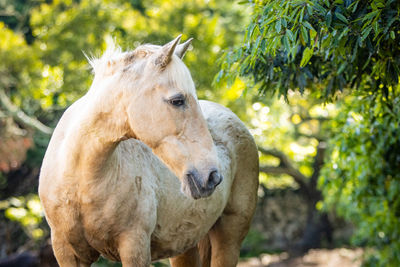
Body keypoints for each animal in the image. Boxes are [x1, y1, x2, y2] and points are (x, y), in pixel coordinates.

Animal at [39, 36, 260, 267]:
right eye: (177, 100)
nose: (212, 177)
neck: (81, 183)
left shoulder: (134, 247)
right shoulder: (66, 252)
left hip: (228, 238)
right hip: (185, 246)